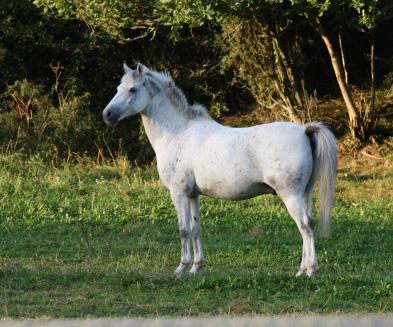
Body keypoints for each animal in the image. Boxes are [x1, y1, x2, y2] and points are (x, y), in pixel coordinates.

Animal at [102, 62, 336, 278]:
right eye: (118, 87)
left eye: (132, 89)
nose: (107, 114)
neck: (178, 132)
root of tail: (305, 130)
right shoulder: (192, 195)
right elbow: (195, 229)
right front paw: (196, 267)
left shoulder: (178, 193)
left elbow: (183, 230)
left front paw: (181, 268)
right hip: (304, 194)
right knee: (308, 224)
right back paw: (301, 270)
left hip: (291, 196)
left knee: (304, 227)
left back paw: (311, 270)